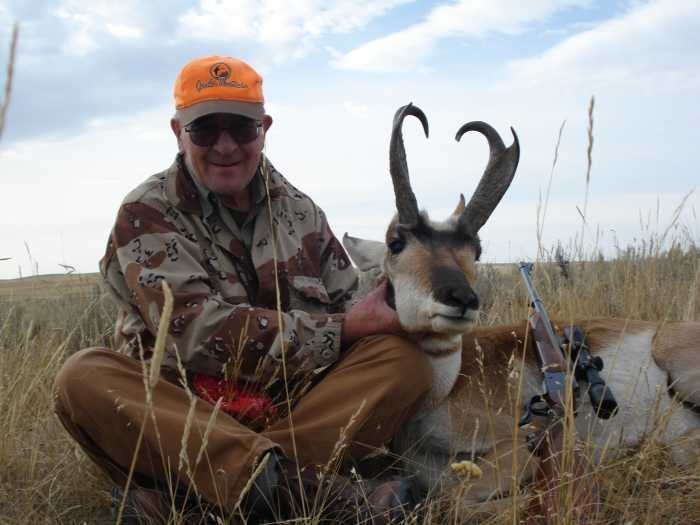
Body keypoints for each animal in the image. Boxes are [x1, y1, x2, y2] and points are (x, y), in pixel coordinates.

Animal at [344, 103, 700, 508]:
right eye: (395, 242)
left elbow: (455, 498)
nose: (462, 299)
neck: (444, 390)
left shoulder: (517, 446)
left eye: (476, 249)